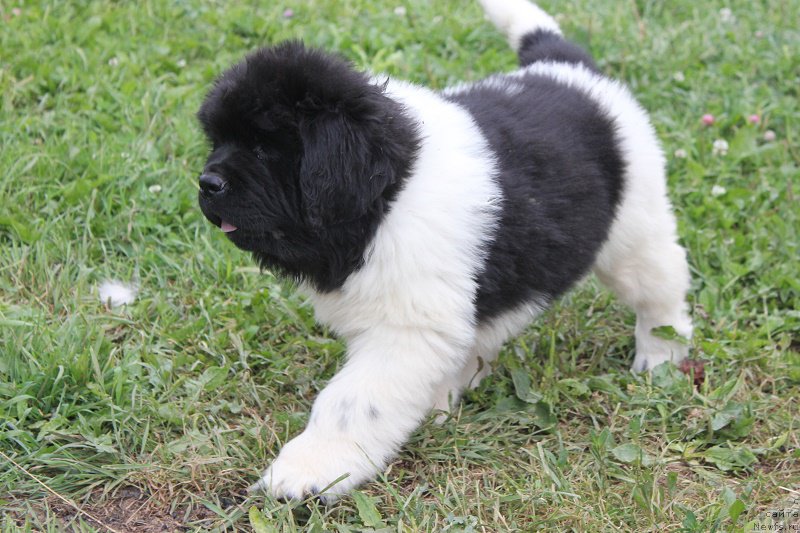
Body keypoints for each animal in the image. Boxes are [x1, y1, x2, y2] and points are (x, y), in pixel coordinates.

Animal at [197, 0, 692, 498]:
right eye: (218, 141)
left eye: (264, 148)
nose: (207, 183)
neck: (385, 195)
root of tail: (566, 66)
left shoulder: (405, 330)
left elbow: (350, 402)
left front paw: (308, 470)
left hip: (634, 226)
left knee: (661, 282)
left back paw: (660, 354)